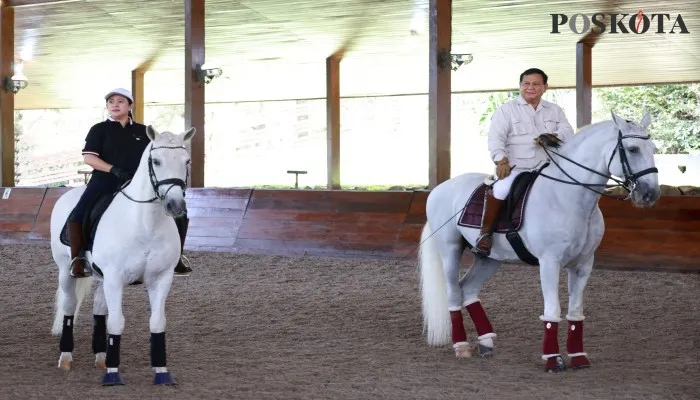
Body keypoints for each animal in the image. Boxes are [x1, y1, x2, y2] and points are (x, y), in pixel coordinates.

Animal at [49, 124, 196, 384]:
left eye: (186, 161)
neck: (145, 224)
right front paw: (113, 374)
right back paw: (66, 357)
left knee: (99, 308)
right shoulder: (115, 278)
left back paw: (100, 356)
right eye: (156, 161)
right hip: (66, 270)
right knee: (69, 306)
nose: (176, 206)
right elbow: (117, 323)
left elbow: (157, 322)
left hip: (102, 277)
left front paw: (162, 372)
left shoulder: (161, 278)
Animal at [418, 109, 660, 372]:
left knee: (468, 290)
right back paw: (461, 346)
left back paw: (486, 342)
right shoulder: (549, 263)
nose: (650, 194)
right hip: (450, 252)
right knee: (453, 293)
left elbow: (575, 312)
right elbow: (552, 310)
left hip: (489, 258)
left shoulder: (583, 264)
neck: (567, 197)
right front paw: (553, 359)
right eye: (633, 149)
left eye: (653, 149)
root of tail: (439, 189)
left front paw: (578, 357)